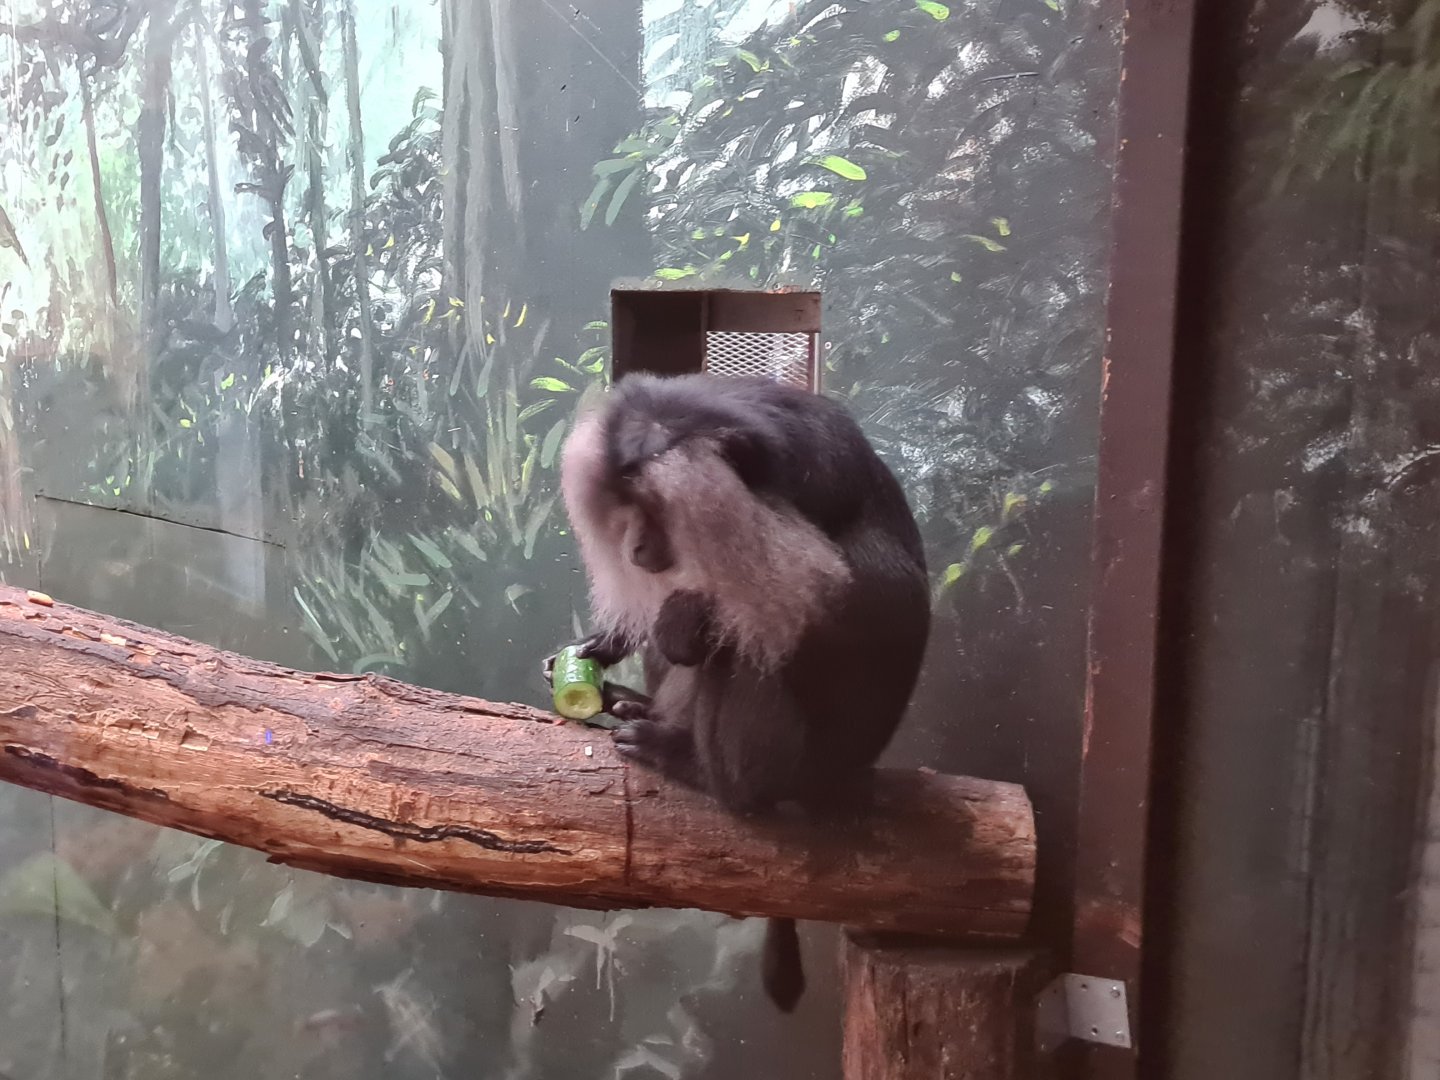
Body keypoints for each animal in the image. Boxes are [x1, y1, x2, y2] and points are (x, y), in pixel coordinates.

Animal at [549, 371, 930, 1012]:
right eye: (626, 510)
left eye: (656, 511)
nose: (637, 550)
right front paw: (598, 652)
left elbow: (867, 617)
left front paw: (691, 625)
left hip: (801, 769)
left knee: (753, 650)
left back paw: (703, 769)